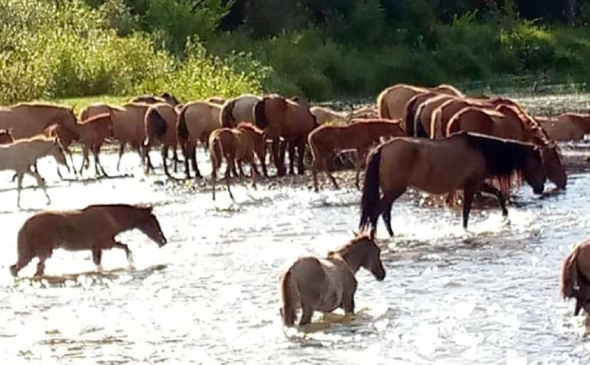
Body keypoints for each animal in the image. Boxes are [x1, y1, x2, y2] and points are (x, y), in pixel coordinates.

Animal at [8, 202, 169, 276]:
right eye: (154, 221)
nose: (163, 241)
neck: (114, 218)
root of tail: (23, 226)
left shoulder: (96, 246)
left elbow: (98, 261)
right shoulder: (105, 242)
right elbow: (125, 246)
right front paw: (131, 261)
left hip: (30, 248)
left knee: (17, 266)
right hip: (42, 247)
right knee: (35, 266)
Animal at [358, 131, 548, 236]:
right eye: (538, 163)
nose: (540, 188)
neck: (481, 150)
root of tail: (381, 148)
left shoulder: (476, 184)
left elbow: (498, 194)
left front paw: (506, 219)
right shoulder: (471, 186)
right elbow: (466, 212)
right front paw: (465, 230)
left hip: (391, 190)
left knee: (384, 213)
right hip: (394, 189)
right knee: (377, 211)